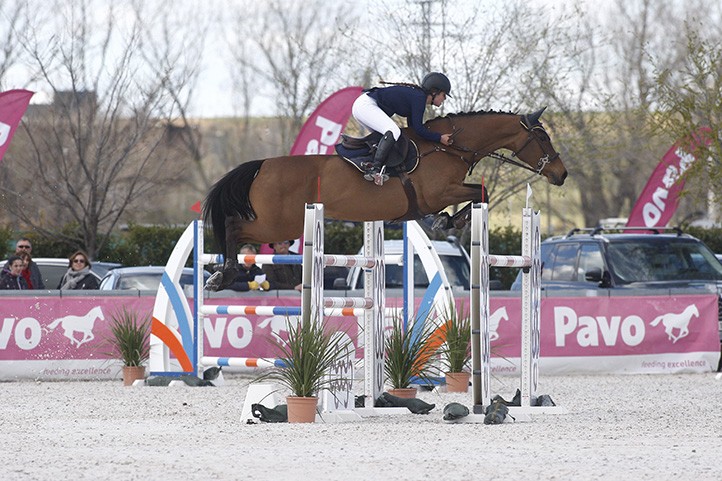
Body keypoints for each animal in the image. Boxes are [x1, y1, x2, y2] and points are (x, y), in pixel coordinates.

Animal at [204, 107, 568, 290]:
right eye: (542, 136)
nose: (561, 174)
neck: (448, 147)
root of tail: (262, 165)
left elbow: (477, 194)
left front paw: (446, 220)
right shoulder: (438, 192)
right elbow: (482, 192)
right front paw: (449, 221)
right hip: (278, 225)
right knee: (234, 228)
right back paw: (224, 275)